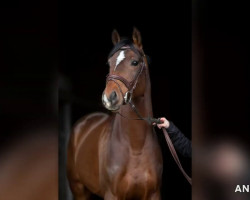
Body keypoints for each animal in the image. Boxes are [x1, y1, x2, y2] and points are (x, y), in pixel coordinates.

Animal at [67, 27, 163, 199]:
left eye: (134, 62)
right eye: (109, 63)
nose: (109, 97)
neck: (136, 148)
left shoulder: (153, 194)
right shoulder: (112, 194)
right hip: (78, 189)